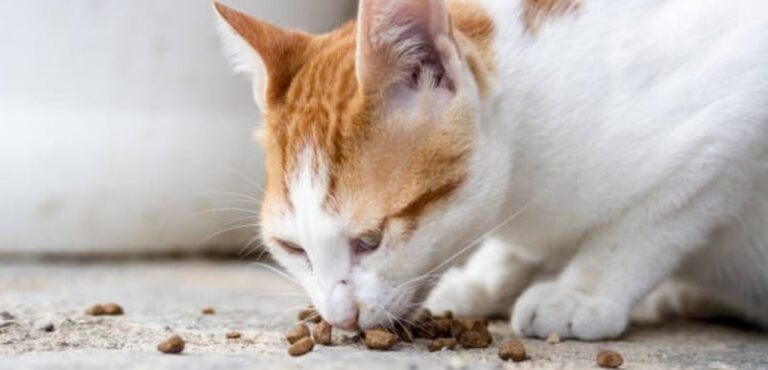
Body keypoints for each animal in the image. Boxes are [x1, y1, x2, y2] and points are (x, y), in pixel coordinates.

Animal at [213, 0, 768, 340]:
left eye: (370, 240)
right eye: (292, 248)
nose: (342, 318)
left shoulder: (732, 127)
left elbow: (645, 225)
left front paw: (580, 291)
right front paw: (486, 280)